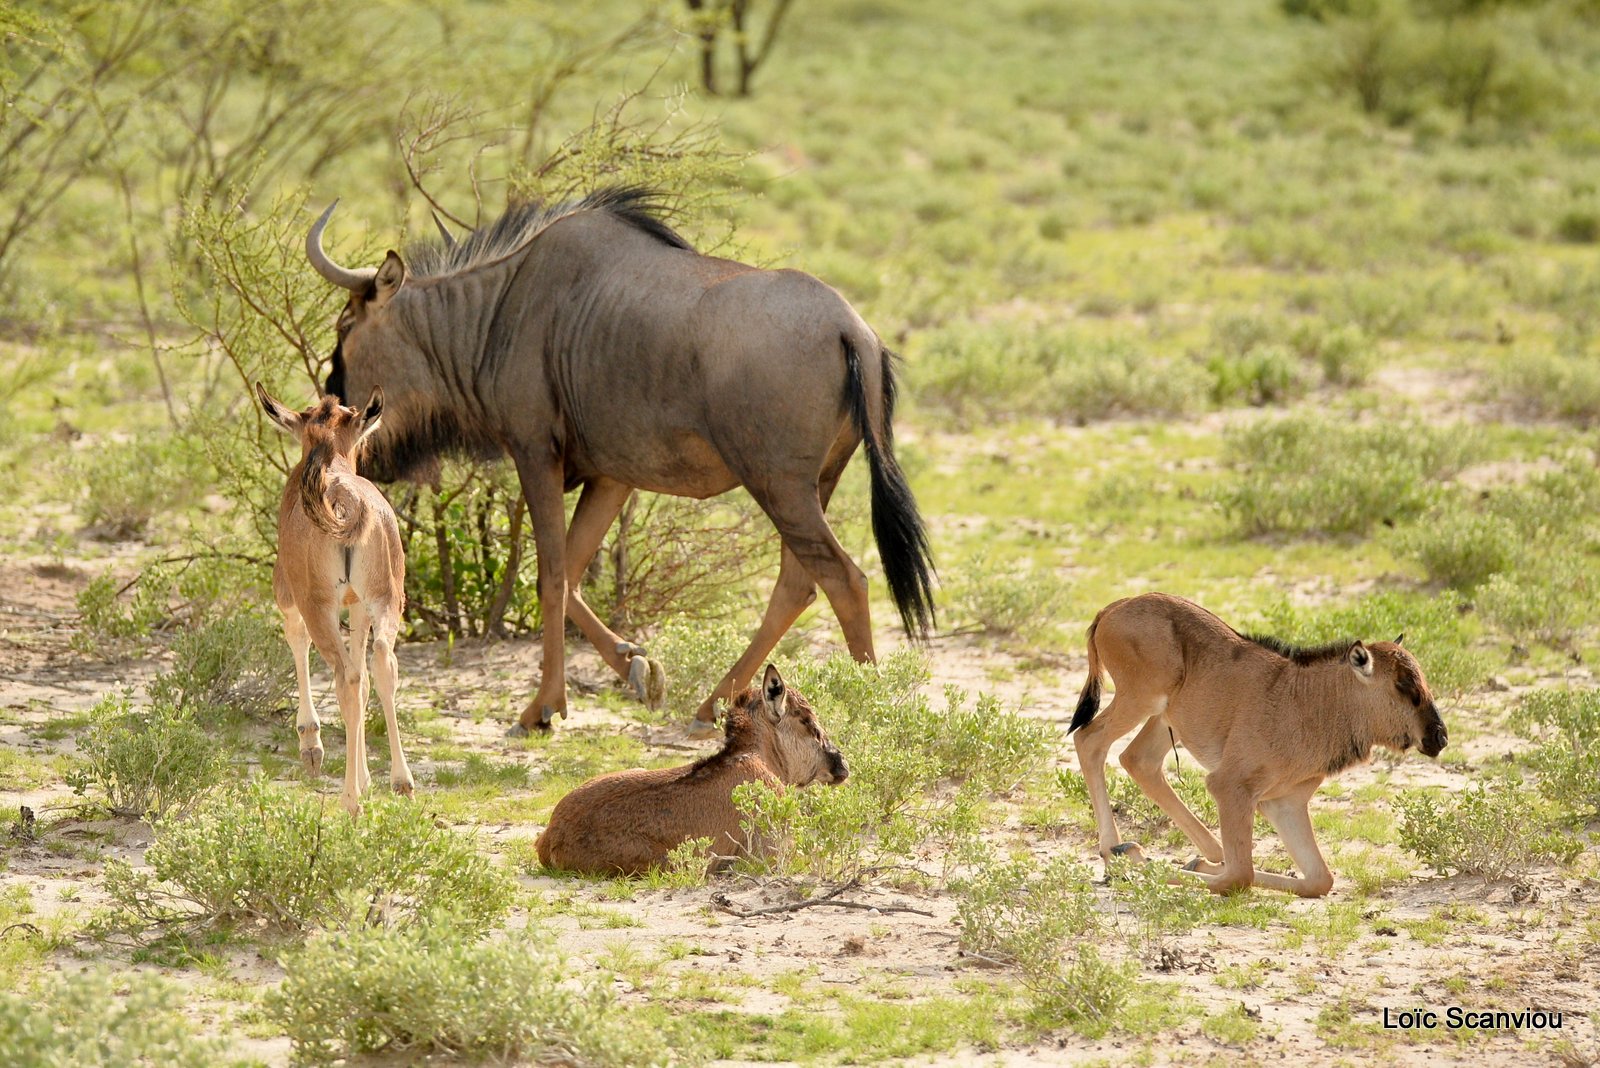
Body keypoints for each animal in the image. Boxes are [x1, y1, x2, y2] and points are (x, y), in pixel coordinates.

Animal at [256, 383, 412, 818]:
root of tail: (344, 502)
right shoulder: (358, 605)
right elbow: (364, 674)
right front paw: (367, 778)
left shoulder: (292, 598)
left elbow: (296, 640)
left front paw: (311, 746)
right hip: (387, 600)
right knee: (380, 664)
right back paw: (401, 783)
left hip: (319, 609)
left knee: (344, 676)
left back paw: (350, 800)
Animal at [1062, 597, 1452, 895]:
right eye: (1404, 684)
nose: (1439, 737)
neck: (1311, 701)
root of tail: (1111, 610)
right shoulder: (1231, 787)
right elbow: (1239, 877)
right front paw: (1136, 863)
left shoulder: (1284, 803)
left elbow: (1320, 880)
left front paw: (1192, 863)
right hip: (1141, 699)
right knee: (1089, 740)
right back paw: (1115, 851)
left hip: (1164, 718)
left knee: (1138, 760)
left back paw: (1202, 853)